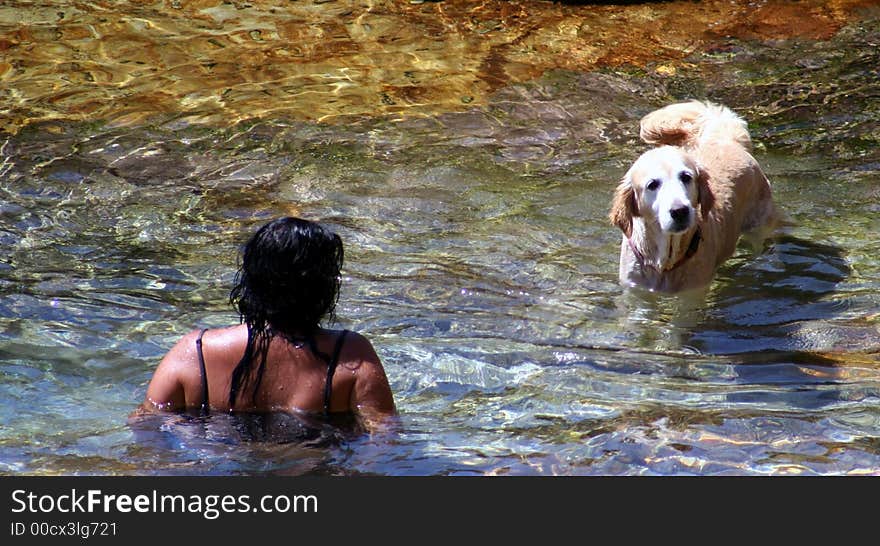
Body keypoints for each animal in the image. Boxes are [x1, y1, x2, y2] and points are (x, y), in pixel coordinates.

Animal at [608, 100, 772, 292]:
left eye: (686, 177)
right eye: (652, 185)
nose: (680, 211)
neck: (664, 265)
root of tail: (727, 140)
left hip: (758, 224)